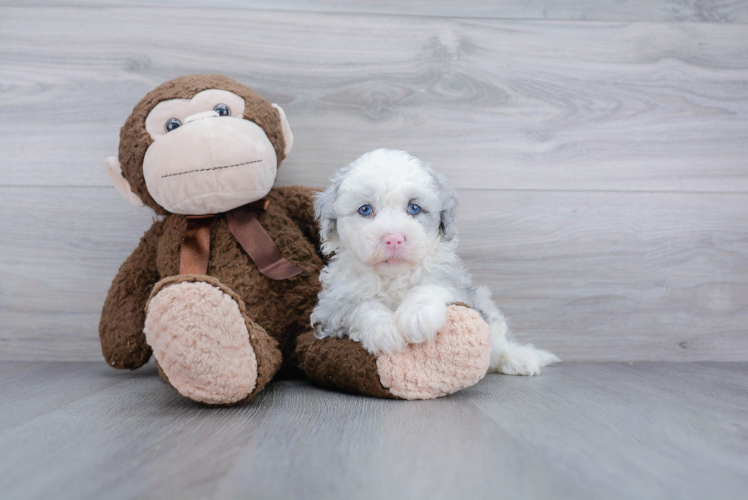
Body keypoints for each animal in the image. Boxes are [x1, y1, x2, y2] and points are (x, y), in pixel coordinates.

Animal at [306, 148, 560, 376]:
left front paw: (417, 316)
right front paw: (384, 329)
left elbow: (431, 286)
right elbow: (360, 306)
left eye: (414, 208)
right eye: (365, 209)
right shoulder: (331, 307)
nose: (393, 239)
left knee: (498, 341)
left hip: (484, 305)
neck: (393, 276)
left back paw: (519, 358)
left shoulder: (455, 284)